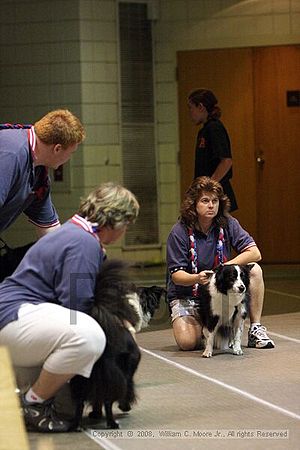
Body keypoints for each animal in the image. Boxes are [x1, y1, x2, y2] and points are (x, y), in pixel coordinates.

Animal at [70, 258, 142, 430]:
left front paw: (95, 414)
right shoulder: (128, 368)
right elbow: (128, 387)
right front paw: (125, 406)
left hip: (82, 379)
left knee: (80, 402)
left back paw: (76, 425)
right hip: (111, 376)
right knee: (108, 400)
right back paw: (112, 423)